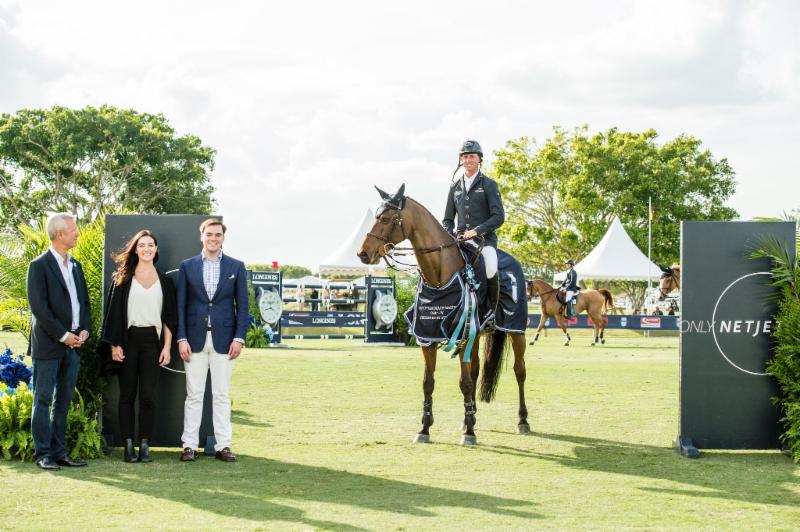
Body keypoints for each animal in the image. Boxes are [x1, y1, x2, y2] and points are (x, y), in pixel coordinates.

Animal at [358, 183, 532, 444]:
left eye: (386, 218)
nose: (363, 253)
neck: (439, 275)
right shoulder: (427, 337)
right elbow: (428, 382)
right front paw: (425, 429)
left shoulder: (461, 337)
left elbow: (465, 383)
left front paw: (469, 434)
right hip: (477, 336)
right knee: (476, 369)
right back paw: (470, 417)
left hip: (516, 331)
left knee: (519, 371)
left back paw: (522, 421)